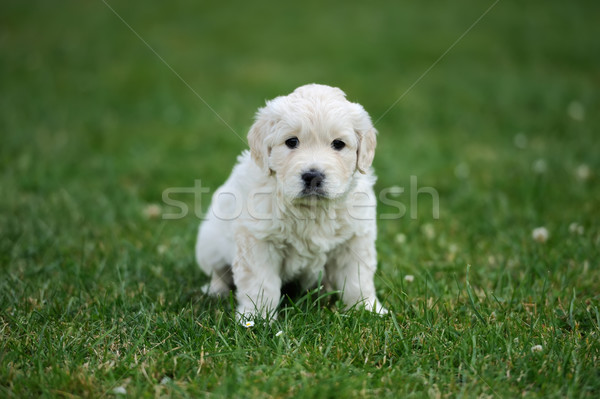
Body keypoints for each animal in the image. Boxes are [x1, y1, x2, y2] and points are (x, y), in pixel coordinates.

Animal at [195, 84, 386, 322]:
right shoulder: (259, 241)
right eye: (292, 142)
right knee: (218, 272)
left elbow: (357, 279)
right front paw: (256, 318)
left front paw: (368, 309)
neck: (312, 210)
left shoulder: (354, 239)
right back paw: (216, 291)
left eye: (338, 144)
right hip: (209, 243)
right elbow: (260, 283)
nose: (313, 176)